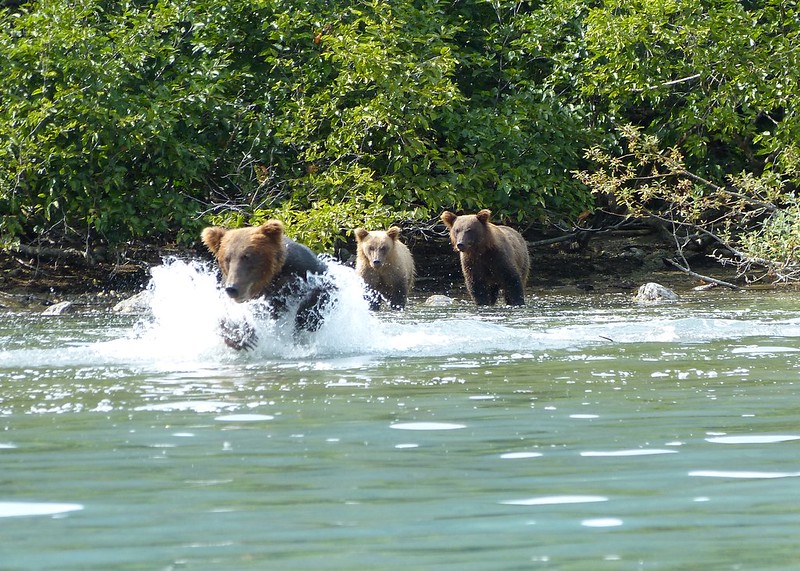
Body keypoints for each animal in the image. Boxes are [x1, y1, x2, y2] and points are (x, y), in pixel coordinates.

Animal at [203, 222, 338, 348]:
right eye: (227, 258)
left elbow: (327, 288)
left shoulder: (303, 267)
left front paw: (305, 319)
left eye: (246, 256)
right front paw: (242, 334)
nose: (232, 288)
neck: (269, 279)